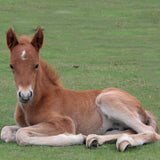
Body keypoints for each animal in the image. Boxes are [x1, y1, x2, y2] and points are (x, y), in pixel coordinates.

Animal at [0, 28, 160, 151]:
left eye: (36, 65)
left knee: (149, 131)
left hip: (106, 99)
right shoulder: (24, 124)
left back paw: (124, 141)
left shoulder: (64, 122)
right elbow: (6, 131)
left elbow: (21, 135)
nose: (25, 95)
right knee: (130, 130)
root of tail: (143, 108)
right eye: (11, 66)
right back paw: (95, 139)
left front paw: (74, 137)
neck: (37, 101)